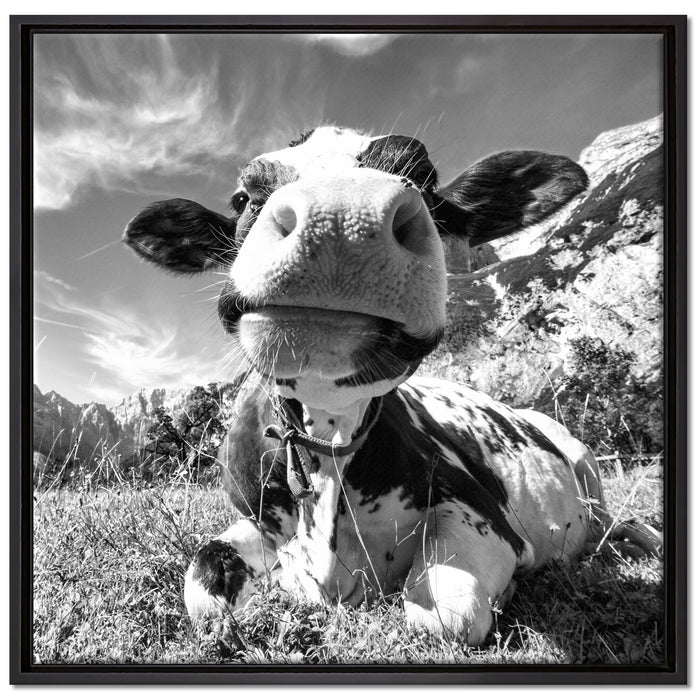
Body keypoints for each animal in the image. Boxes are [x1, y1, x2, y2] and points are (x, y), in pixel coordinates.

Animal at [123, 126, 661, 645]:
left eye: (425, 179)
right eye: (242, 197)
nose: (342, 217)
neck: (330, 436)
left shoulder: (484, 513)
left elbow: (446, 614)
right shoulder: (253, 519)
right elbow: (204, 586)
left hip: (584, 460)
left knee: (612, 521)